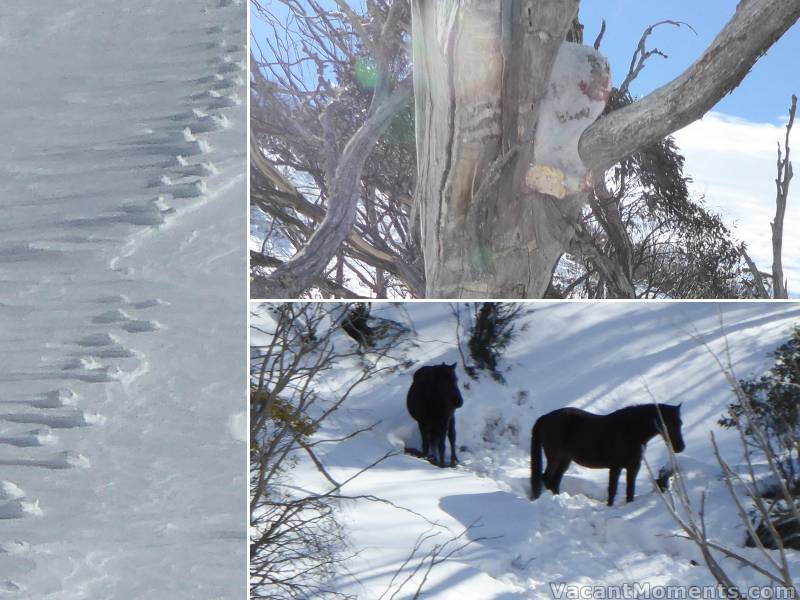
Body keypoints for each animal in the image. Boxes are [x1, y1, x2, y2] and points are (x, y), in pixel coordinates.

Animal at [528, 404, 684, 506]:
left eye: (680, 423)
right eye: (668, 423)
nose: (680, 447)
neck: (630, 430)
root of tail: (543, 418)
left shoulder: (633, 467)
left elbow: (630, 490)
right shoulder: (616, 467)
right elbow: (612, 489)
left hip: (565, 459)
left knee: (555, 480)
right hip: (555, 456)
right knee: (546, 478)